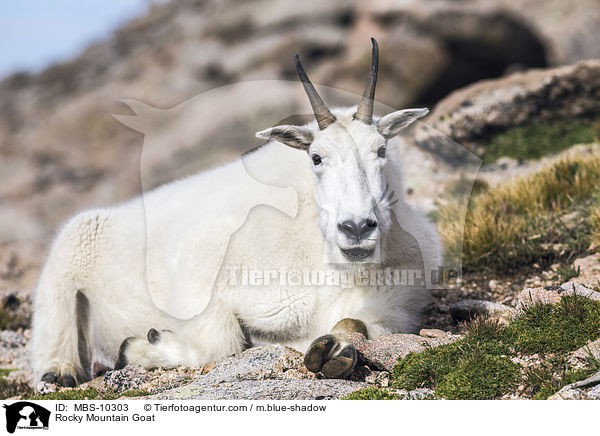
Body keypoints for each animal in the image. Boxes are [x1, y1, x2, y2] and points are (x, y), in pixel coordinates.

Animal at [31, 38, 440, 384]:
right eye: (316, 157)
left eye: (381, 150)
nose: (356, 228)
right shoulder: (201, 269)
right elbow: (221, 344)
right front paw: (138, 347)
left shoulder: (395, 308)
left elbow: (354, 322)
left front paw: (332, 352)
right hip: (70, 250)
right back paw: (61, 369)